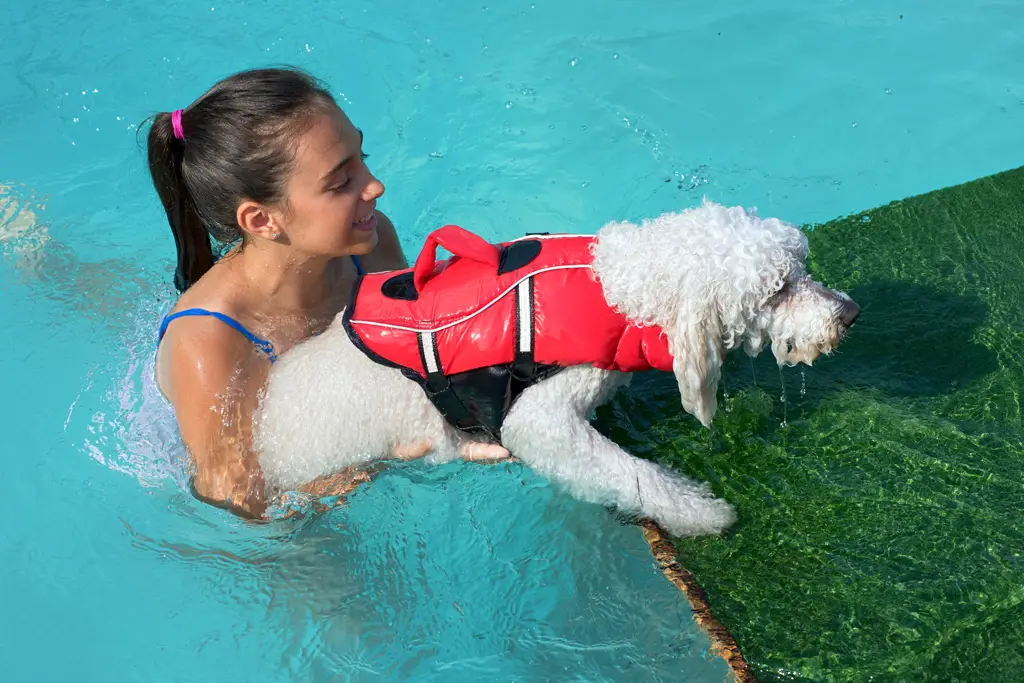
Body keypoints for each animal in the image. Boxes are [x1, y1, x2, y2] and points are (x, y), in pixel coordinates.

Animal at [253, 200, 856, 536]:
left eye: (802, 267)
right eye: (778, 289)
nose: (849, 314)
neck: (614, 288)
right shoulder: (540, 414)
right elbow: (627, 473)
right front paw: (700, 513)